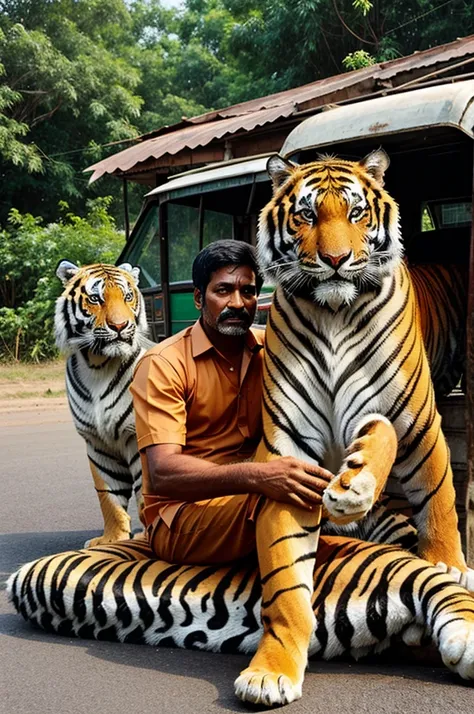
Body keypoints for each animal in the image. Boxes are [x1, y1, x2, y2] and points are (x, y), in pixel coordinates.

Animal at [54, 262, 154, 544]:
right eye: (96, 299)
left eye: (128, 297)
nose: (120, 326)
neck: (98, 364)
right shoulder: (97, 441)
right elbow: (108, 495)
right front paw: (111, 539)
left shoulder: (138, 435)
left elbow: (145, 489)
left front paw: (145, 538)